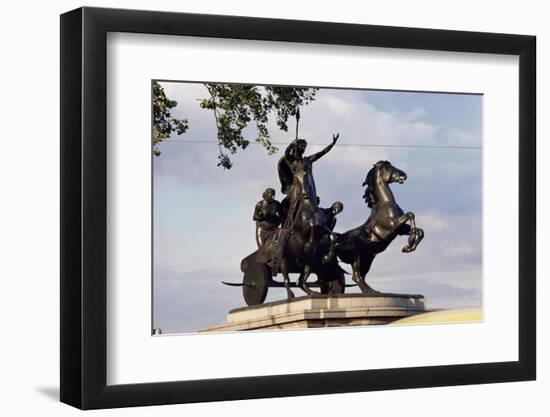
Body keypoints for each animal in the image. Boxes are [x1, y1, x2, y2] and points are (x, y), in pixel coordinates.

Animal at [336, 159, 426, 292]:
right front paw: (409, 243)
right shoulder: (392, 225)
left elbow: (420, 231)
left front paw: (408, 247)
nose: (404, 175)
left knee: (361, 276)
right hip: (355, 257)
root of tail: (338, 240)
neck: (385, 203)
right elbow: (410, 214)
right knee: (356, 276)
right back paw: (369, 292)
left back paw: (373, 291)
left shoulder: (401, 230)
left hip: (367, 259)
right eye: (388, 168)